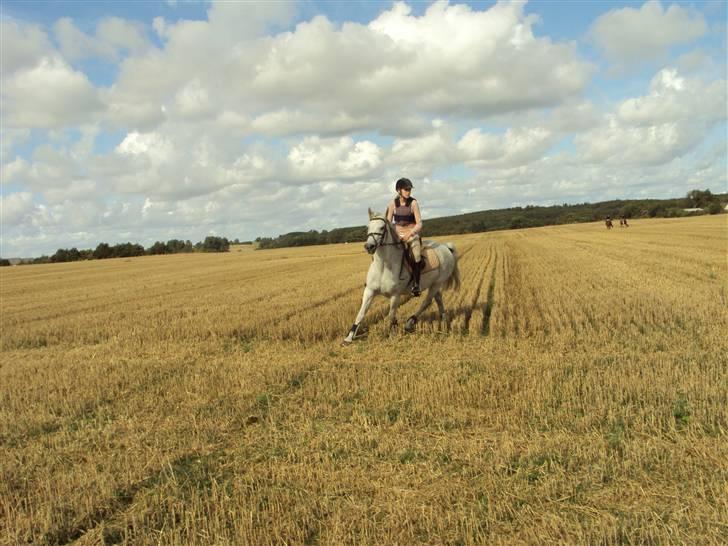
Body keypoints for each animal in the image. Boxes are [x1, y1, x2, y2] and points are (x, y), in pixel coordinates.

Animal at [342, 209, 460, 344]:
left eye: (382, 228)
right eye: (368, 227)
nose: (369, 246)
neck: (383, 266)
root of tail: (446, 247)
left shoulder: (395, 295)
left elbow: (390, 315)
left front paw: (389, 333)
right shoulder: (369, 291)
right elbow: (361, 314)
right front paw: (349, 337)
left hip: (437, 283)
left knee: (426, 302)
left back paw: (410, 323)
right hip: (434, 284)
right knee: (438, 299)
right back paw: (444, 322)